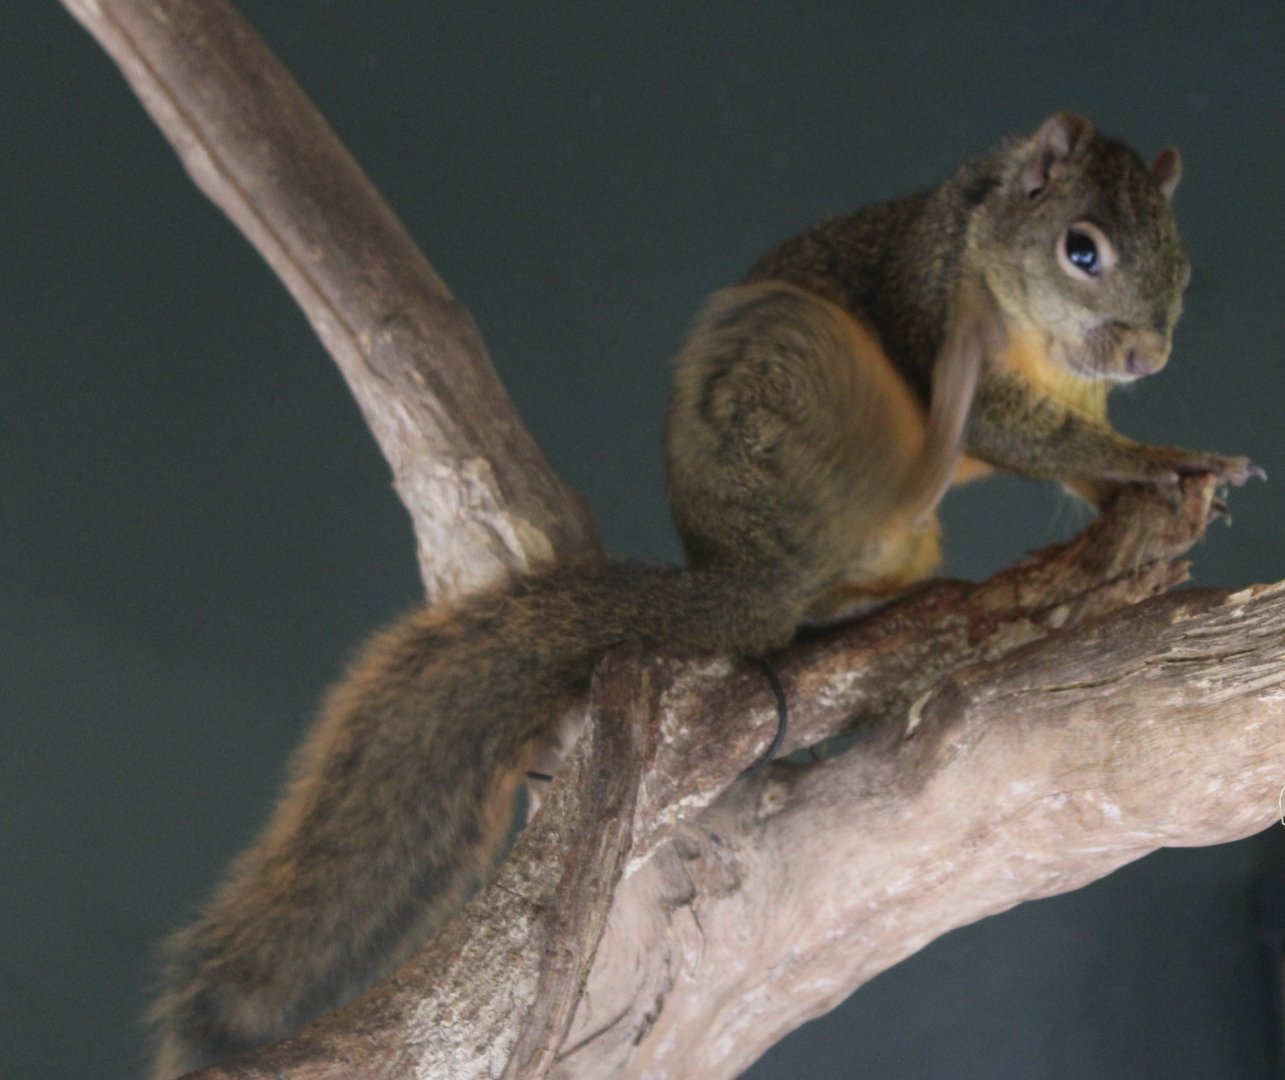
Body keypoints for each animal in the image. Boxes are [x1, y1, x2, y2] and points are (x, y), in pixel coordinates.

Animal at [149, 113, 1260, 1077]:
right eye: (1081, 250)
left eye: (1182, 264)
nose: (1147, 355)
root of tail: (737, 570)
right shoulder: (933, 297)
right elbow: (1015, 430)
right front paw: (1167, 456)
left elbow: (1076, 453)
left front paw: (1154, 470)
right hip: (803, 408)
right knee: (830, 562)